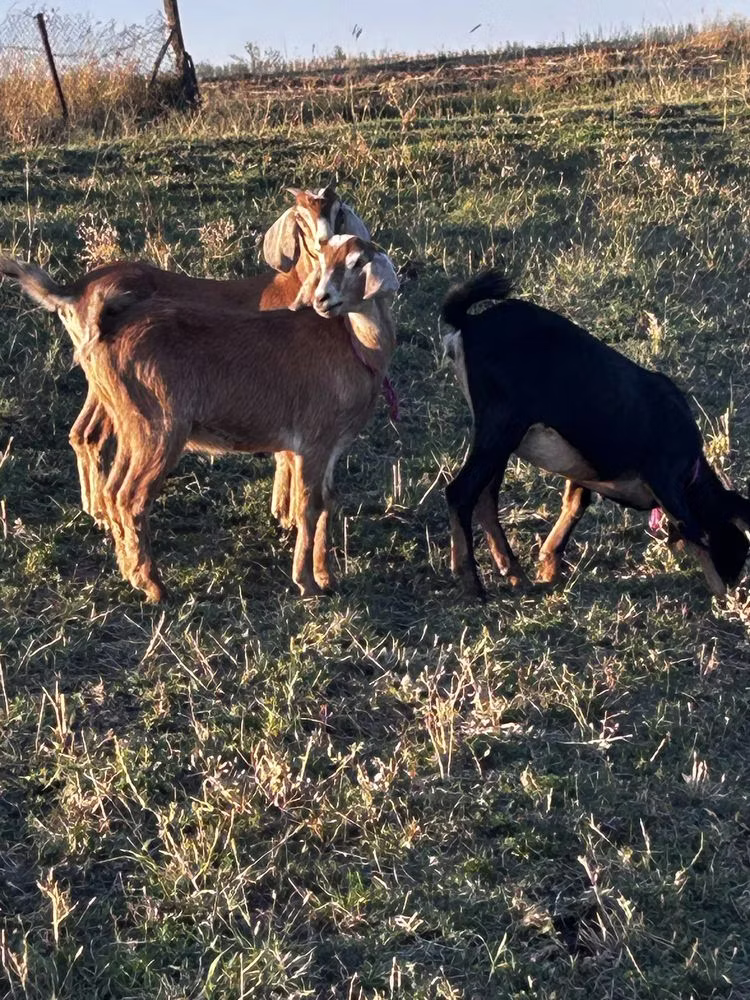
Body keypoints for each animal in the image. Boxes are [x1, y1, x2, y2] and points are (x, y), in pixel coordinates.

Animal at [0, 184, 369, 534]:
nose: (324, 241)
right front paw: (288, 516)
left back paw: (97, 512)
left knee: (83, 434)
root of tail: (75, 288)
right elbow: (288, 455)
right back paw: (103, 515)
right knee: (90, 436)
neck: (287, 287)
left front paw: (283, 512)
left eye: (337, 212)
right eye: (300, 217)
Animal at [2, 236, 398, 602]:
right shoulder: (313, 442)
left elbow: (329, 501)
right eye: (323, 259)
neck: (357, 348)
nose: (323, 300)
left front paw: (326, 577)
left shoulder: (331, 446)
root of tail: (105, 325)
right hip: (159, 428)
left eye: (356, 262)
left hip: (131, 424)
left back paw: (130, 571)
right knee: (131, 498)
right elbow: (309, 506)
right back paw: (154, 586)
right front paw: (306, 583)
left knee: (111, 485)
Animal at [442, 269, 750, 598]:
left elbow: (574, 506)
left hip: (500, 437)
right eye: (739, 546)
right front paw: (723, 595)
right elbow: (694, 532)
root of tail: (469, 322)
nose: (733, 581)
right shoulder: (665, 478)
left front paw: (549, 570)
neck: (691, 471)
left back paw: (515, 573)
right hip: (502, 426)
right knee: (461, 492)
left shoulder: (583, 470)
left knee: (486, 498)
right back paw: (470, 582)